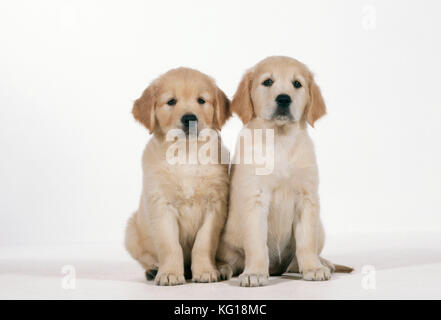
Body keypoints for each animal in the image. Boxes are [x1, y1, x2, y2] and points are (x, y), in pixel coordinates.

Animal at [124, 67, 230, 284]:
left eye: (201, 100)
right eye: (171, 101)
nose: (189, 118)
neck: (186, 154)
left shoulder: (215, 206)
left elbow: (203, 243)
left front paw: (205, 271)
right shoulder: (161, 205)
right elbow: (170, 245)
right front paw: (170, 273)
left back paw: (221, 267)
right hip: (131, 230)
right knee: (145, 257)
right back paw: (153, 269)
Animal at [217, 56, 350, 286]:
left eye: (297, 84)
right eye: (267, 82)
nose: (284, 99)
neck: (280, 140)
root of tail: (278, 269)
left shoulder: (307, 199)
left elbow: (306, 242)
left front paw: (313, 268)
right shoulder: (254, 200)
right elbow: (256, 244)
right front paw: (255, 273)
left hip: (320, 228)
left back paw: (324, 263)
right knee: (232, 261)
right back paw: (224, 268)